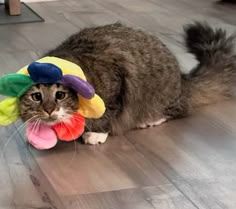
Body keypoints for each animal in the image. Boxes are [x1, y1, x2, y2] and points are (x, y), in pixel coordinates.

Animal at [18, 21, 236, 145]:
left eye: (60, 95)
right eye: (36, 97)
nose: (49, 110)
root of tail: (183, 82)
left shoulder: (116, 85)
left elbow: (107, 114)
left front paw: (96, 134)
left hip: (163, 97)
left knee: (179, 110)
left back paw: (150, 120)